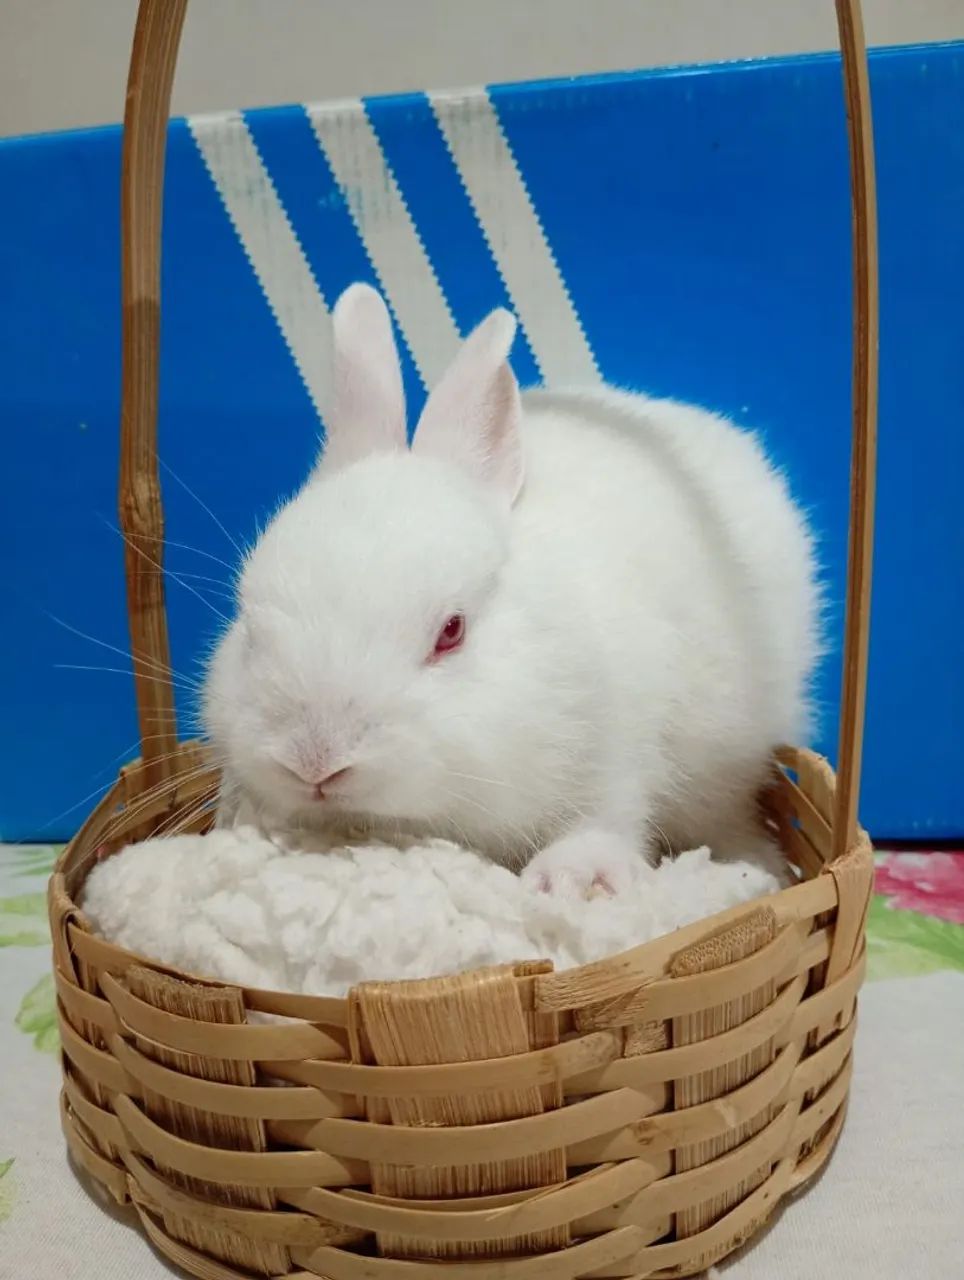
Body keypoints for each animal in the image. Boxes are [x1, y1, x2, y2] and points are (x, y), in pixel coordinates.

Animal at [203, 282, 821, 897]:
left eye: (451, 631)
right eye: (249, 629)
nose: (314, 761)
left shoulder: (621, 744)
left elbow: (608, 814)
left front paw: (570, 878)